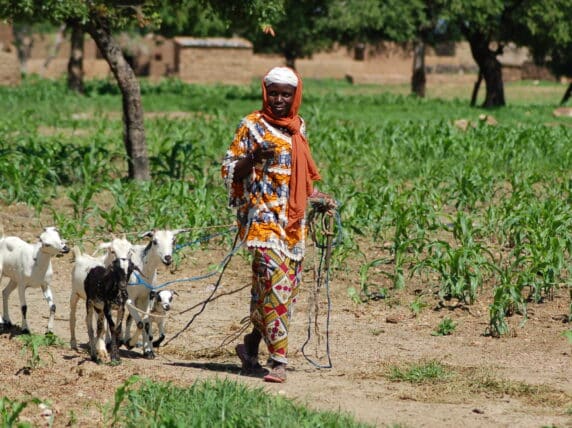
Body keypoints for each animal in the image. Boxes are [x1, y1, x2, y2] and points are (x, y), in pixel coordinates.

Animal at [123, 229, 185, 360]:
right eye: (155, 241)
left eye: (174, 240)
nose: (168, 258)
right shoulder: (129, 298)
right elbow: (140, 324)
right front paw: (130, 343)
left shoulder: (146, 297)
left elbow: (145, 322)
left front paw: (148, 351)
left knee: (129, 318)